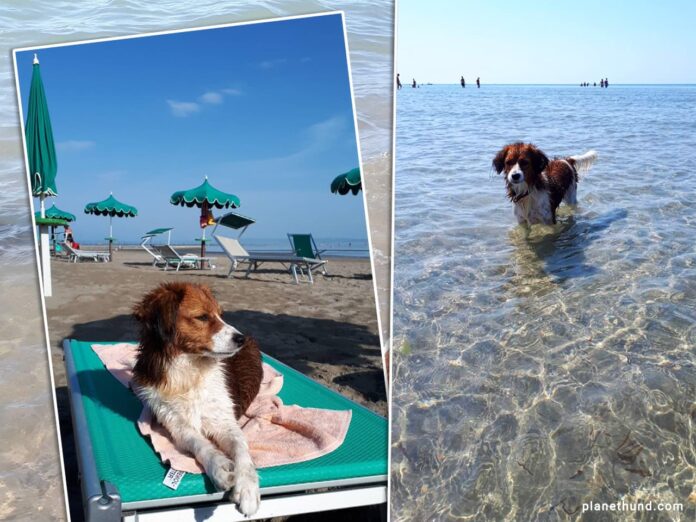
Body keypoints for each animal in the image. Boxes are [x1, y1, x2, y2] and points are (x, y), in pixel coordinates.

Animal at [130, 280, 260, 512]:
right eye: (202, 317)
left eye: (220, 315)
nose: (241, 339)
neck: (190, 370)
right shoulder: (177, 424)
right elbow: (200, 444)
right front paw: (220, 467)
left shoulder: (224, 419)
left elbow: (241, 449)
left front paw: (247, 487)